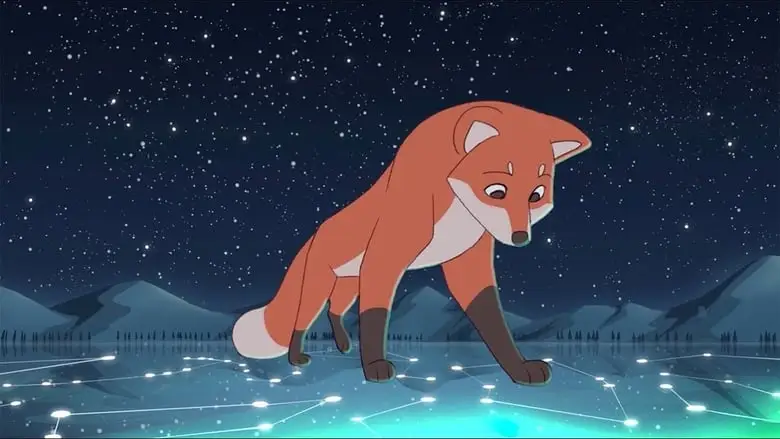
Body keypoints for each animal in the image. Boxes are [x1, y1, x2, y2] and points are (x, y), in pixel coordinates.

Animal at [232, 100, 591, 385]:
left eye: (536, 195)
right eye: (497, 191)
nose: (520, 238)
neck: (455, 205)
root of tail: (317, 231)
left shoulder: (469, 260)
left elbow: (494, 325)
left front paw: (518, 370)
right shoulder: (386, 256)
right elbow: (376, 316)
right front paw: (375, 367)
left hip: (350, 284)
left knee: (335, 310)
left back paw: (344, 345)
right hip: (319, 287)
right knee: (300, 322)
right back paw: (297, 358)